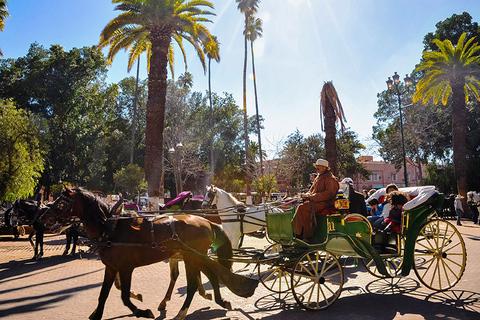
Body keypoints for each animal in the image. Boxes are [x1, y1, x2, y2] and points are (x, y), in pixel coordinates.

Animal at [41, 186, 258, 318]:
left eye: (60, 202)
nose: (42, 218)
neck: (111, 229)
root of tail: (206, 221)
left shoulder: (125, 268)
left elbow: (125, 296)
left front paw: (142, 311)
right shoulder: (111, 267)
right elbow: (103, 295)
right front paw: (97, 314)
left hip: (191, 257)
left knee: (192, 285)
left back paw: (182, 312)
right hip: (196, 257)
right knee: (211, 276)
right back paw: (220, 301)